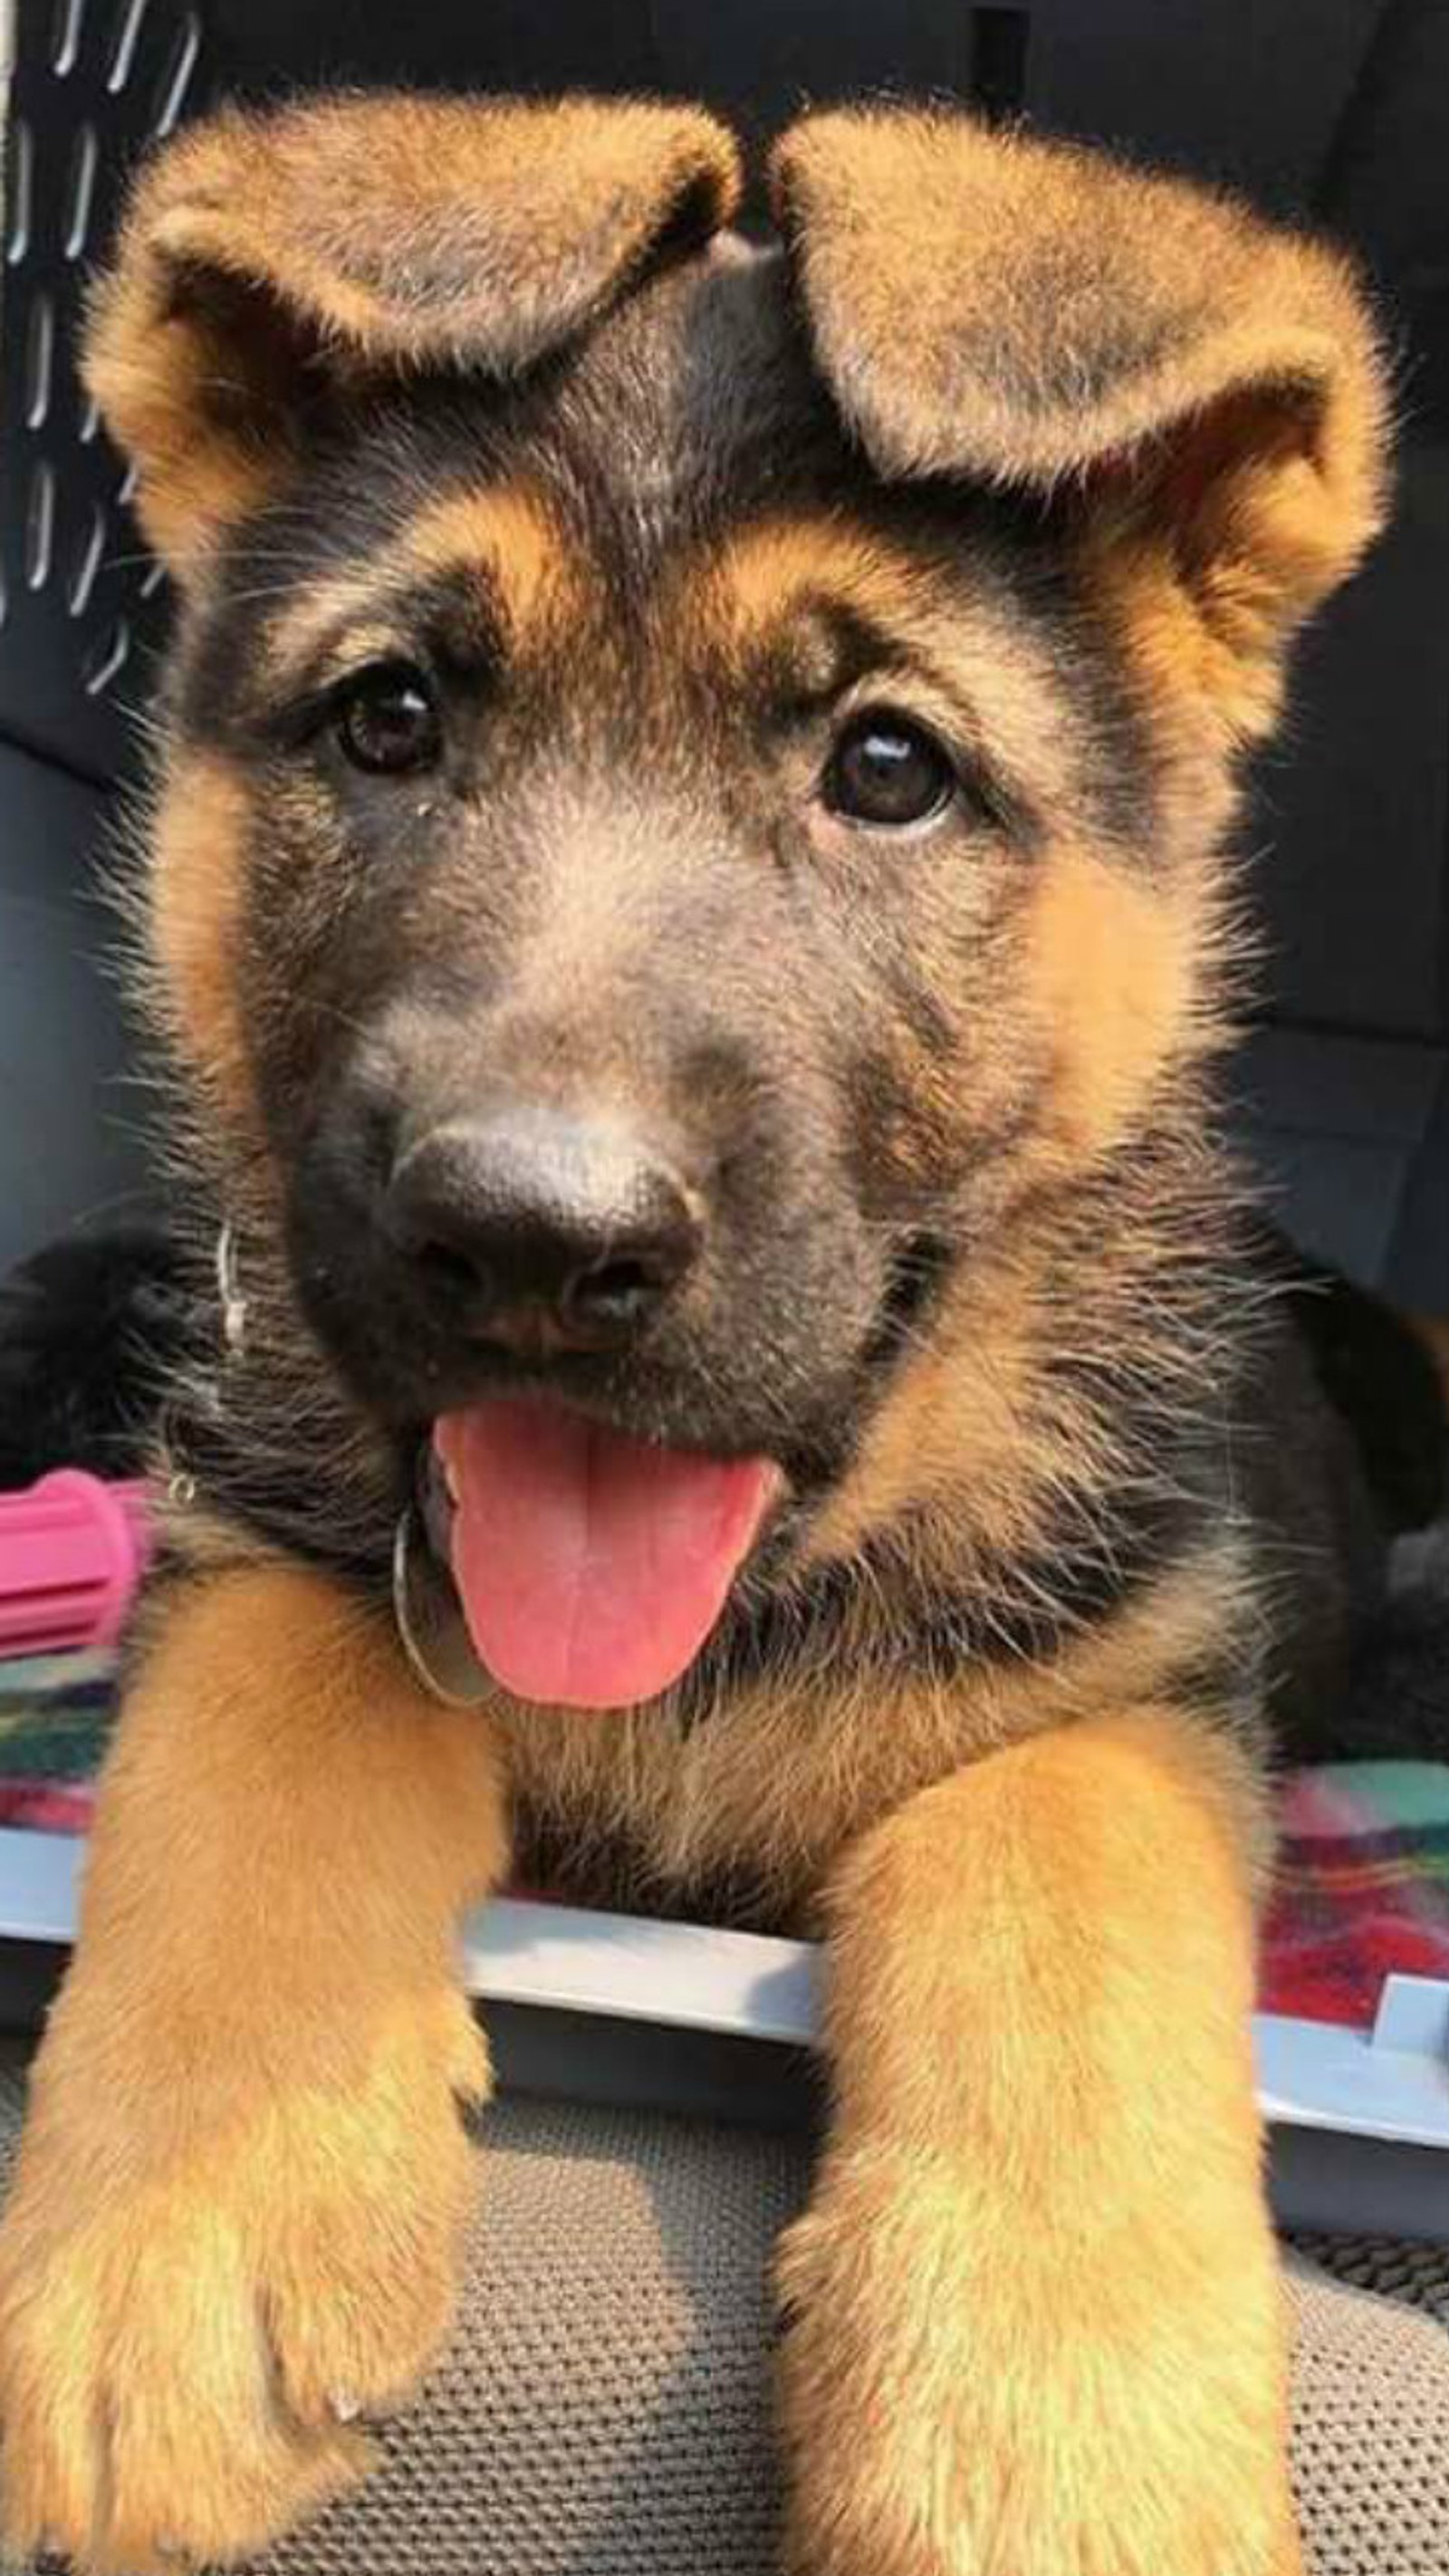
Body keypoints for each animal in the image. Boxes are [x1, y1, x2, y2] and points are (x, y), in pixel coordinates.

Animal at [0, 91, 1389, 2565]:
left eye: (886, 768)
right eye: (386, 720)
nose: (530, 1246)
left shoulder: (1136, 1682)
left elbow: (1051, 1871)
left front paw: (1048, 2435)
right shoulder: (263, 1526)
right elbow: (260, 1711)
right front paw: (174, 2221)